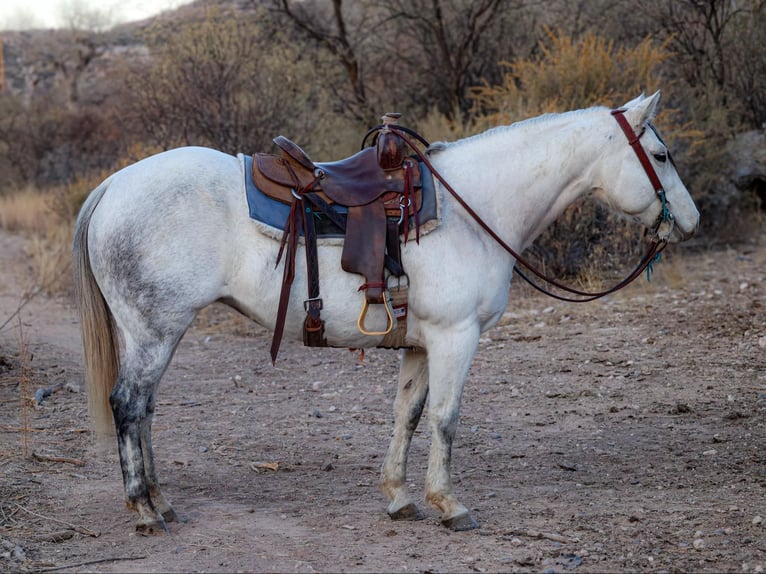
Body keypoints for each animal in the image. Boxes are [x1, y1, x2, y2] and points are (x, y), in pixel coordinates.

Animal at [73, 91, 704, 536]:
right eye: (660, 155)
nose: (692, 221)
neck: (474, 208)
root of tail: (112, 186)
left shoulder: (421, 344)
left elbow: (408, 415)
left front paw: (399, 498)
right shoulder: (456, 338)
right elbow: (446, 418)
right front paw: (449, 505)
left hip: (151, 334)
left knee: (144, 410)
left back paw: (161, 502)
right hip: (155, 333)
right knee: (128, 405)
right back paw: (144, 511)